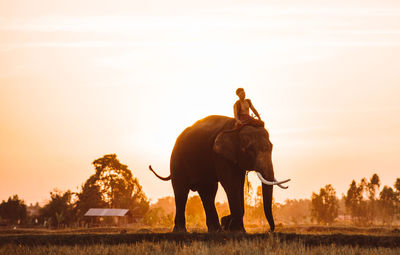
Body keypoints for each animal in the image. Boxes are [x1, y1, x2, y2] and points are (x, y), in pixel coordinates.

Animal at [148, 115, 290, 233]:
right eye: (250, 149)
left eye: (271, 147)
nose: (269, 230)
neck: (236, 127)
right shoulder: (220, 156)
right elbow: (231, 183)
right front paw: (237, 230)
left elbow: (239, 184)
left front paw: (232, 227)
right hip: (177, 160)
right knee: (181, 191)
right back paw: (181, 231)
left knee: (208, 192)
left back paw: (215, 230)